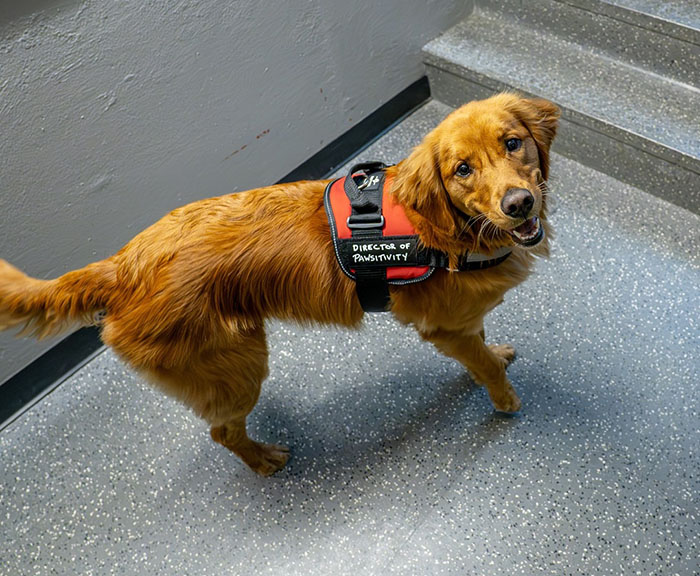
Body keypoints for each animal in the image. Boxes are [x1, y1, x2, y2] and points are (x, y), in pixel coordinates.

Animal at [0, 92, 556, 474]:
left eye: (513, 143)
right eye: (462, 170)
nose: (519, 204)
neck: (450, 230)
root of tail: (121, 265)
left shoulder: (461, 321)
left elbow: (482, 349)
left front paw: (491, 358)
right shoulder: (443, 326)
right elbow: (485, 366)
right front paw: (504, 401)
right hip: (237, 367)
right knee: (222, 431)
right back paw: (263, 459)